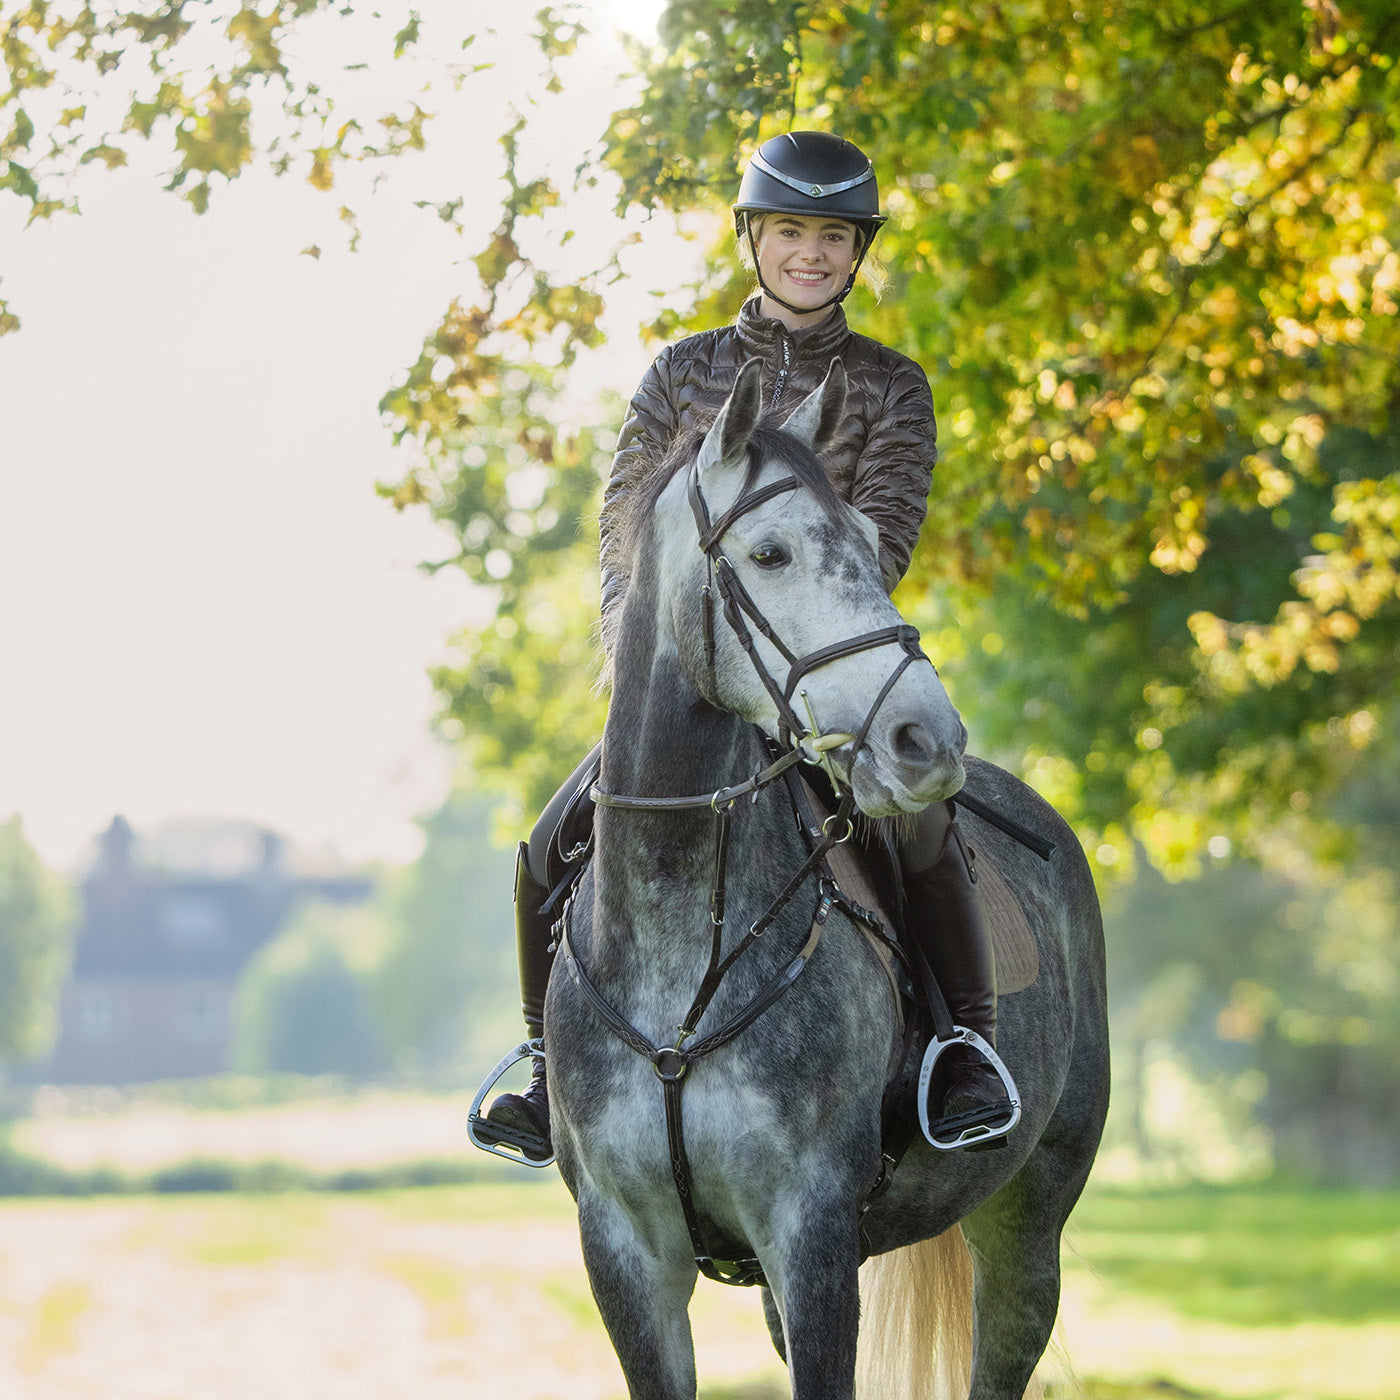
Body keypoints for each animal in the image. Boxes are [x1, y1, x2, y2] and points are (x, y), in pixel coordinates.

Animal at [540, 361, 1108, 1400]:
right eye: (769, 553)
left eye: (873, 550)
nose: (927, 739)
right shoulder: (626, 1251)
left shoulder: (811, 1238)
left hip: (1028, 1226)